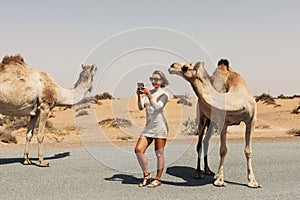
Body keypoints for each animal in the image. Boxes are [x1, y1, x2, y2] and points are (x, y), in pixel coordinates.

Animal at [169, 59, 260, 188]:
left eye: (185, 67)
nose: (171, 66)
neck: (237, 100)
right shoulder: (223, 122)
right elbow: (223, 150)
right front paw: (220, 180)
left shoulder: (251, 120)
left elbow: (248, 151)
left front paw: (252, 181)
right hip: (202, 117)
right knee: (199, 144)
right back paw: (198, 173)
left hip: (211, 122)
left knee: (205, 141)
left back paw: (208, 170)